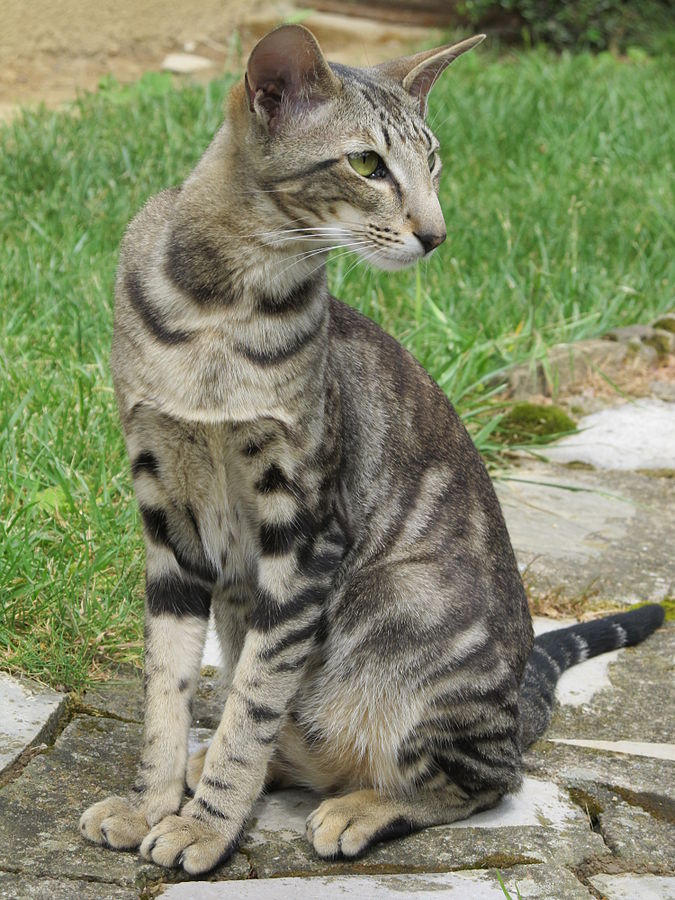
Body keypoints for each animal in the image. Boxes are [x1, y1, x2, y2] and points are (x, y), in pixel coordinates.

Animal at [79, 24, 664, 876]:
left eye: (434, 164)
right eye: (365, 165)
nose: (436, 232)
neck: (222, 311)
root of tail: (515, 699)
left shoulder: (305, 529)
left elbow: (252, 703)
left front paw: (207, 827)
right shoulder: (167, 517)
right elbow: (168, 691)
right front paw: (151, 802)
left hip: (398, 611)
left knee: (483, 780)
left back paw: (355, 807)